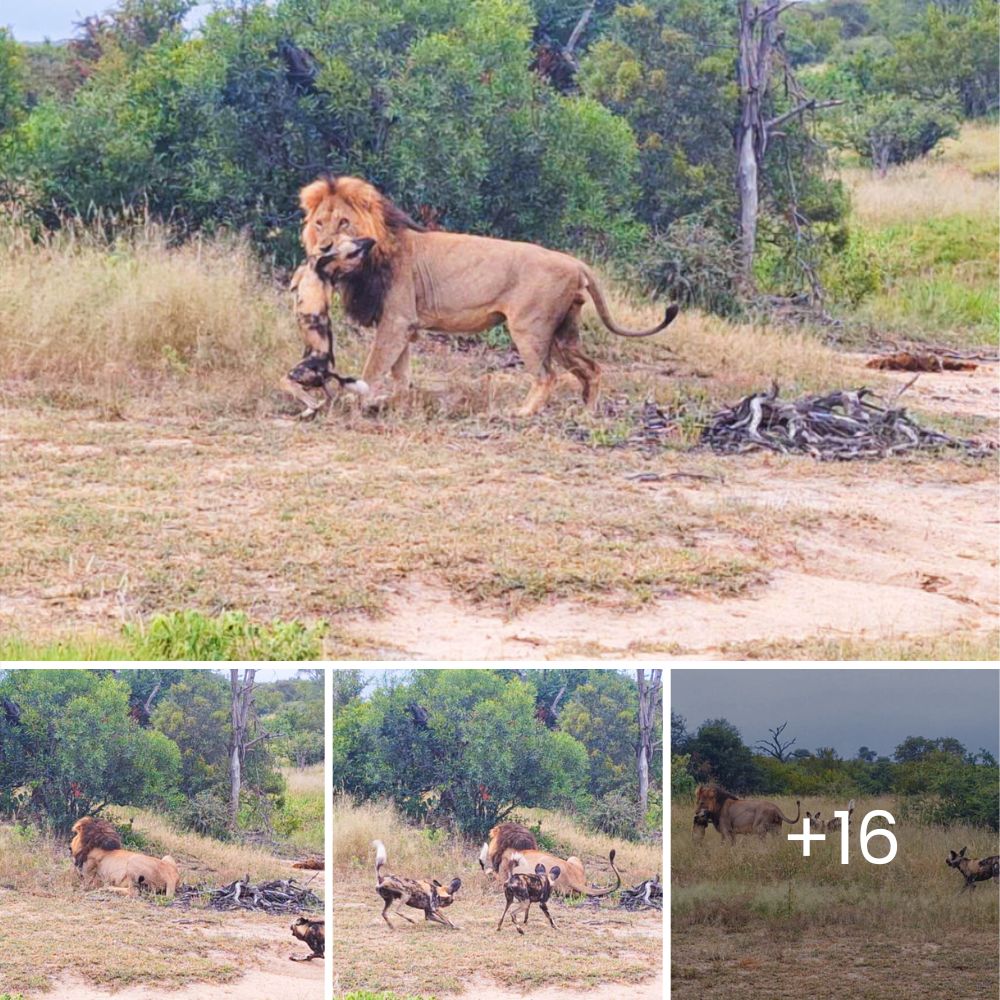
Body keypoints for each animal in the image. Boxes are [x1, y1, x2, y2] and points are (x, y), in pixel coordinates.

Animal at [292, 174, 676, 416]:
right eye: (319, 224)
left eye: (344, 222)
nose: (322, 247)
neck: (371, 255)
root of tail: (576, 262)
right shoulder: (404, 326)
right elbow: (400, 373)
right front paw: (390, 403)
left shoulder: (397, 321)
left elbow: (373, 368)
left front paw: (354, 401)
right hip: (563, 334)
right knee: (592, 369)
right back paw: (587, 413)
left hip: (529, 329)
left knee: (547, 376)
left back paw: (521, 413)